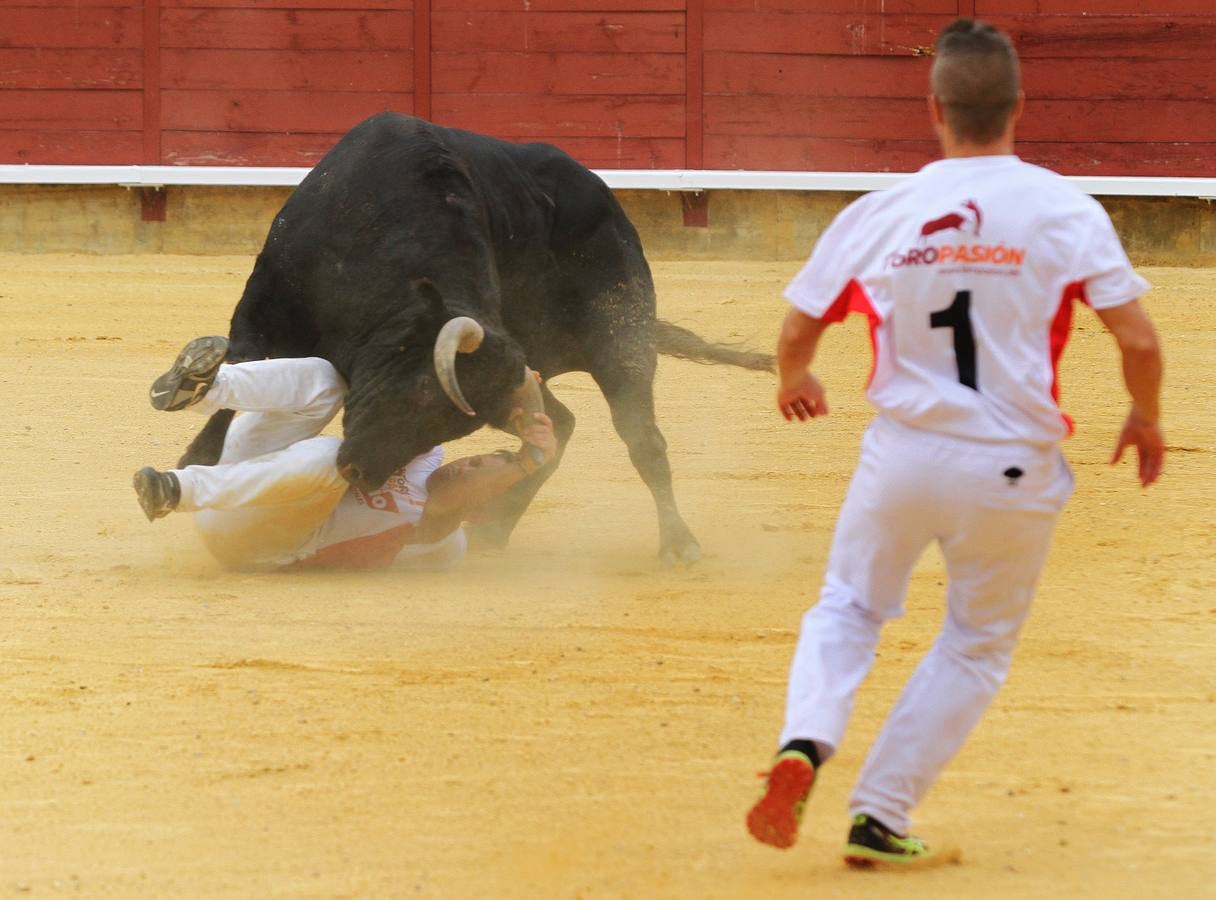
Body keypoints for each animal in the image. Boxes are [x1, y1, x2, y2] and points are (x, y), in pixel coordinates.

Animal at [179, 112, 768, 561]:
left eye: (456, 427)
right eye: (420, 391)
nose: (357, 472)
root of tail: (612, 206)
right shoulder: (259, 321)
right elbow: (228, 397)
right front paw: (192, 457)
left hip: (620, 335)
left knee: (639, 438)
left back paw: (678, 542)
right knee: (563, 423)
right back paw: (496, 528)